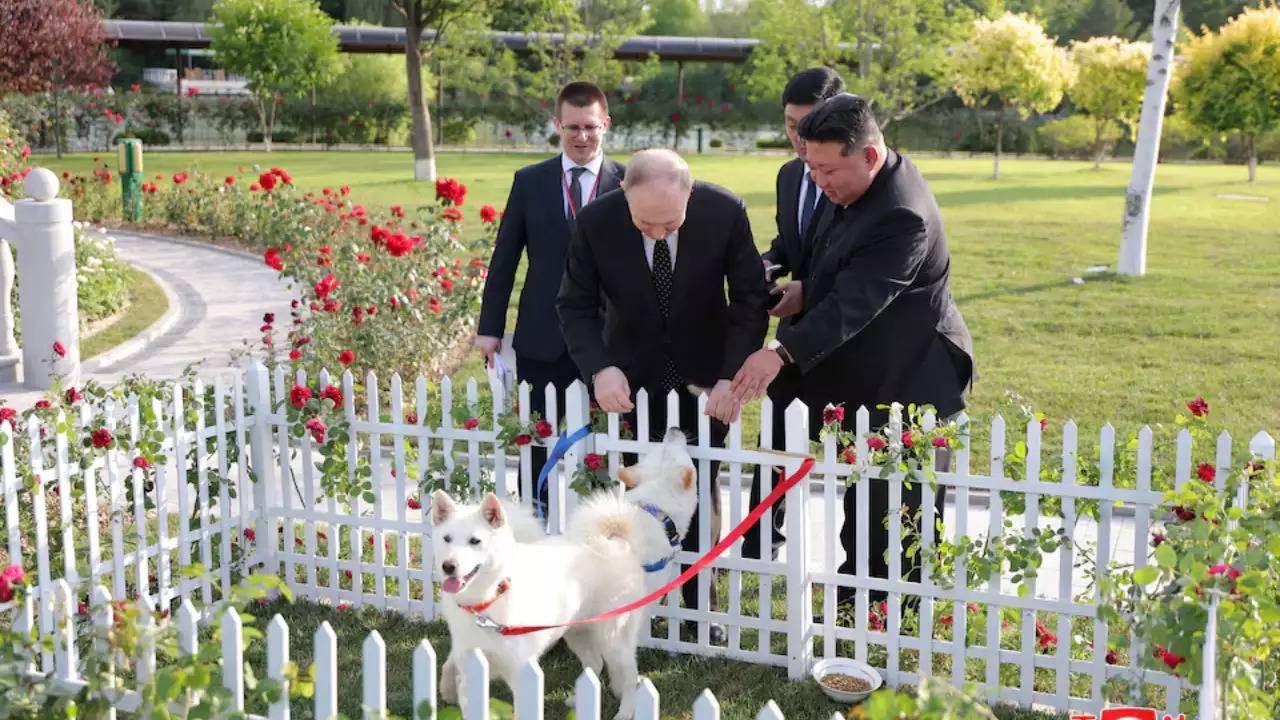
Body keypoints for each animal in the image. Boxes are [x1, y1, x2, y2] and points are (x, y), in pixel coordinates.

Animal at [430, 425, 696, 717]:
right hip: (586, 632)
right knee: (603, 666)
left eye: (475, 541)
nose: (674, 429)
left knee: (618, 672)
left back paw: (615, 708)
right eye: (447, 539)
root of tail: (617, 540)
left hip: (602, 634)